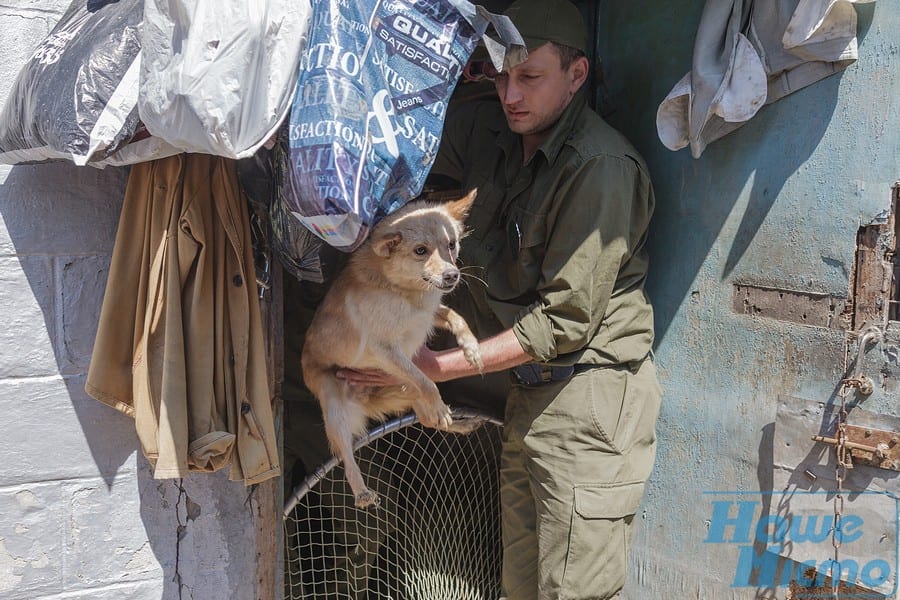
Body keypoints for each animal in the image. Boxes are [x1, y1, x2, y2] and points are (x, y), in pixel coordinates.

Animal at [300, 190, 486, 508]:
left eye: (451, 244)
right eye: (420, 251)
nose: (452, 276)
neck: (403, 291)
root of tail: (363, 399)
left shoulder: (428, 314)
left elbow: (455, 317)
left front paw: (471, 349)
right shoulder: (383, 350)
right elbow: (426, 380)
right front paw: (442, 402)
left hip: (405, 393)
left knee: (427, 419)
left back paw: (460, 424)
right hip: (334, 409)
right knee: (345, 455)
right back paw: (361, 491)